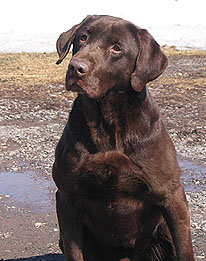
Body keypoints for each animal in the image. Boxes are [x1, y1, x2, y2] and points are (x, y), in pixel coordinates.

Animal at [52, 15, 195, 258]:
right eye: (82, 37)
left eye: (116, 48)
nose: (75, 67)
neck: (108, 124)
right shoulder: (66, 197)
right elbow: (74, 253)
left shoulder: (172, 196)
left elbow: (185, 250)